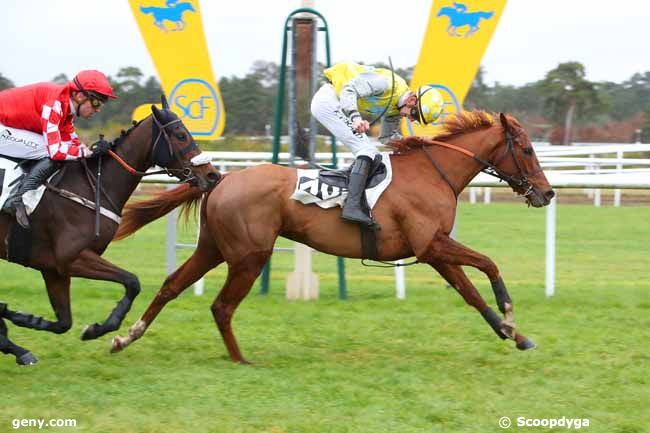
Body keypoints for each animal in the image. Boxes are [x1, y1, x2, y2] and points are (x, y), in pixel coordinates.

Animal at [0, 96, 220, 362]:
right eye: (180, 135)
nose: (212, 175)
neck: (92, 185)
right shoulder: (72, 258)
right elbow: (132, 281)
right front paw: (101, 328)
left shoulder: (54, 267)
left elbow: (63, 322)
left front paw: (20, 318)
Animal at [110, 110, 552, 362]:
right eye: (527, 150)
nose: (547, 193)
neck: (433, 173)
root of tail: (222, 179)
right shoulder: (433, 245)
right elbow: (489, 265)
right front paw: (510, 318)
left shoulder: (433, 250)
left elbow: (471, 293)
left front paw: (515, 335)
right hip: (250, 255)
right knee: (222, 306)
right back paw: (240, 360)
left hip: (213, 248)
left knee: (171, 286)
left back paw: (125, 337)